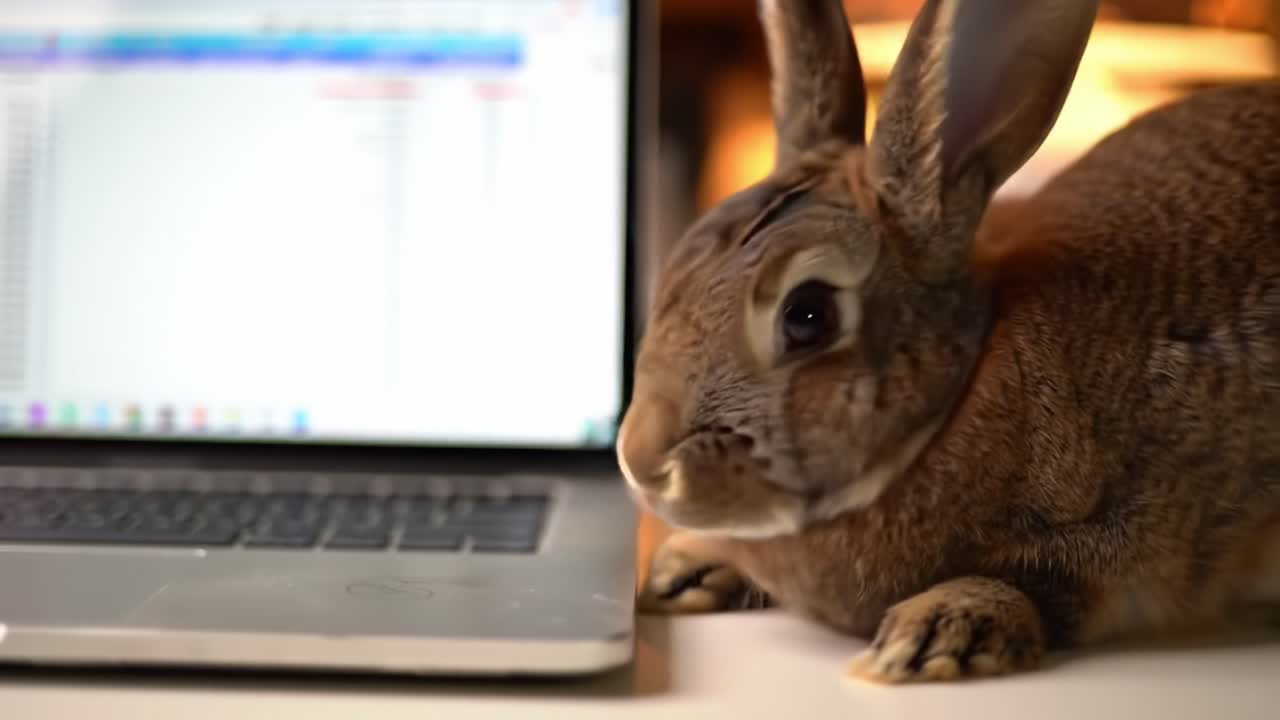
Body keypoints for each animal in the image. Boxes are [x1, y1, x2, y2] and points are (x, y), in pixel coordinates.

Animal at [617, 0, 1280, 685]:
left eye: (807, 316)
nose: (639, 462)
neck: (963, 386)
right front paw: (683, 570)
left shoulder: (1134, 526)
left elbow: (1040, 582)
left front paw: (936, 632)